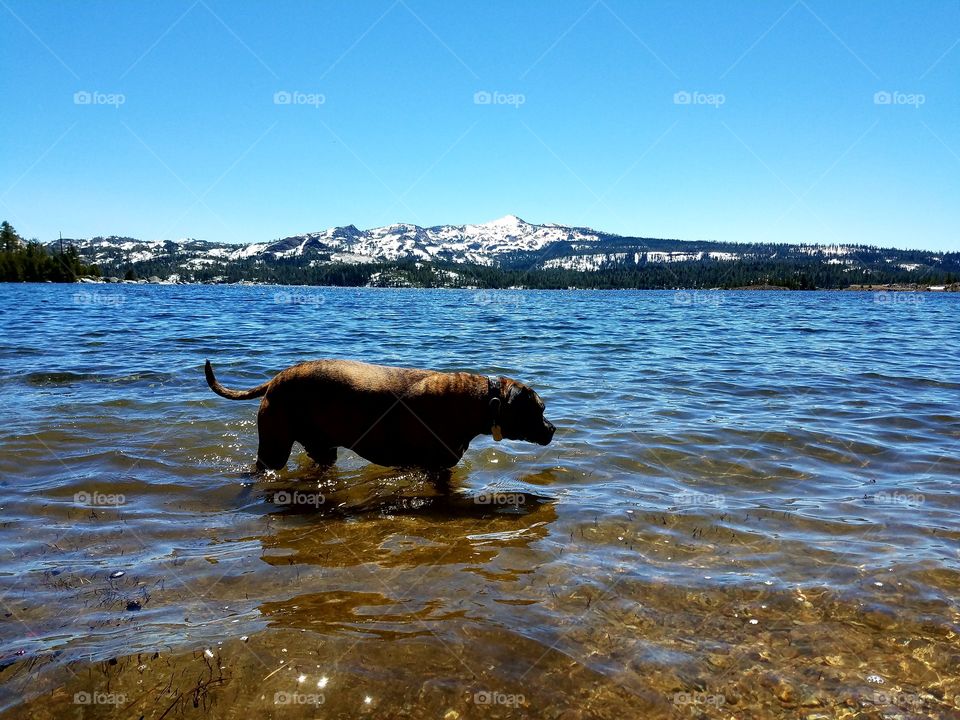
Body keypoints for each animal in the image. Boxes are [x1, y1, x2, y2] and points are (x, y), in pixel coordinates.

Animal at [206, 360, 560, 472]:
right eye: (540, 409)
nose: (553, 429)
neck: (482, 400)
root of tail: (275, 380)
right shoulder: (434, 469)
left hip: (322, 447)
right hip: (274, 449)